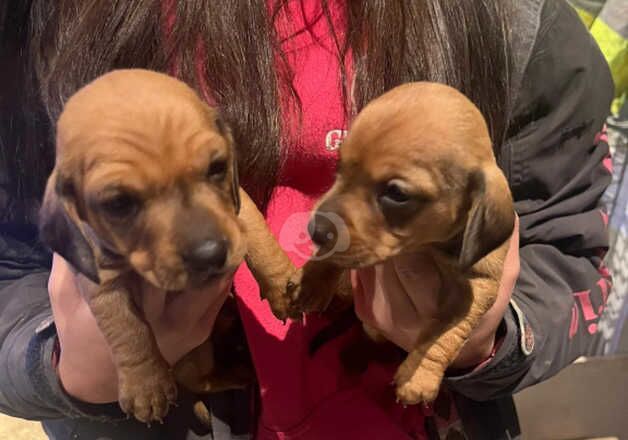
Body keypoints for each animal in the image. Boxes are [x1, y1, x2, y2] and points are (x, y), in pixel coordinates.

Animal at [38, 69, 294, 422]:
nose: (210, 255)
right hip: (193, 357)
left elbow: (259, 240)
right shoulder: (102, 283)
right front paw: (146, 386)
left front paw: (283, 286)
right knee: (199, 382)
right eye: (118, 203)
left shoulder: (237, 208)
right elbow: (127, 327)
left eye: (217, 167)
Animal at [288, 81, 516, 406]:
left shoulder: (479, 286)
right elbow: (336, 254)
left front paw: (419, 377)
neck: (427, 247)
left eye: (396, 194)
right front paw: (312, 279)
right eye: (339, 165)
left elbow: (445, 333)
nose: (315, 230)